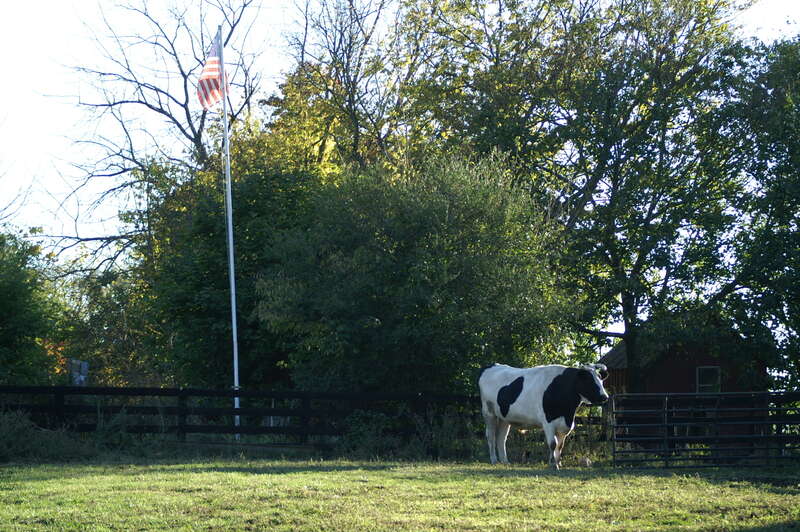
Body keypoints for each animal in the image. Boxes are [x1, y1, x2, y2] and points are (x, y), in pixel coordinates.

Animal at [478, 363, 609, 469]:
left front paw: (558, 462)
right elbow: (552, 444)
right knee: (491, 436)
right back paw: (494, 460)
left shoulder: (565, 425)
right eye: (589, 380)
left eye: (601, 379)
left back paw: (505, 461)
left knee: (501, 438)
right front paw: (553, 464)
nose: (605, 397)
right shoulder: (548, 423)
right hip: (489, 413)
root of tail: (492, 365)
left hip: (504, 418)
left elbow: (560, 446)